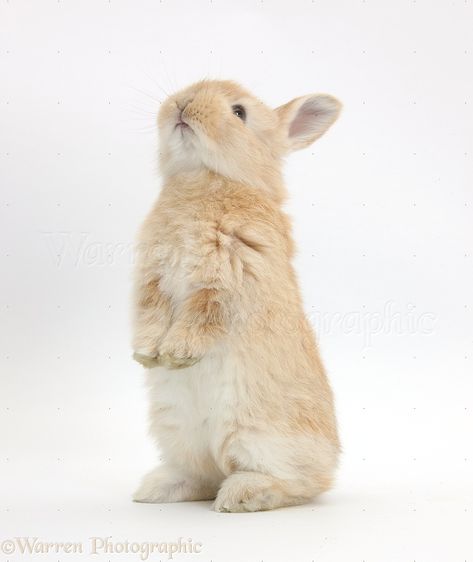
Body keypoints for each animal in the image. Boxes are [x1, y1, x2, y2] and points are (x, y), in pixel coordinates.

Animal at [131, 79, 342, 512]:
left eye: (239, 113)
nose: (183, 103)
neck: (202, 179)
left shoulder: (228, 276)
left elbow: (202, 314)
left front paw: (176, 354)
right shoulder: (152, 278)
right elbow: (151, 313)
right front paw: (146, 355)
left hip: (260, 435)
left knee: (301, 483)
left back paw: (242, 495)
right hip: (177, 432)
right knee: (202, 475)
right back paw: (155, 489)